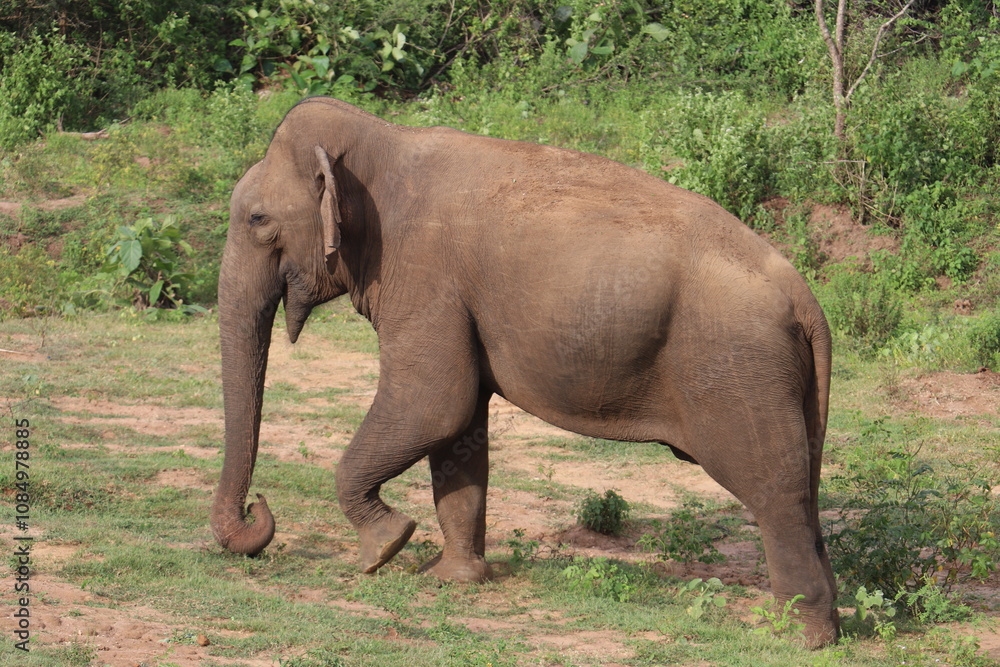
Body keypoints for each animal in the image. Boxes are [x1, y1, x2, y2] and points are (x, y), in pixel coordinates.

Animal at [211, 96, 839, 647]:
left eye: (258, 218)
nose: (257, 510)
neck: (384, 142)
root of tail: (805, 297)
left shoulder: (424, 277)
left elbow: (432, 403)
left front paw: (383, 550)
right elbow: (458, 429)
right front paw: (452, 579)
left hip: (739, 370)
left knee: (773, 490)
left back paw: (797, 637)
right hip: (785, 384)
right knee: (804, 489)